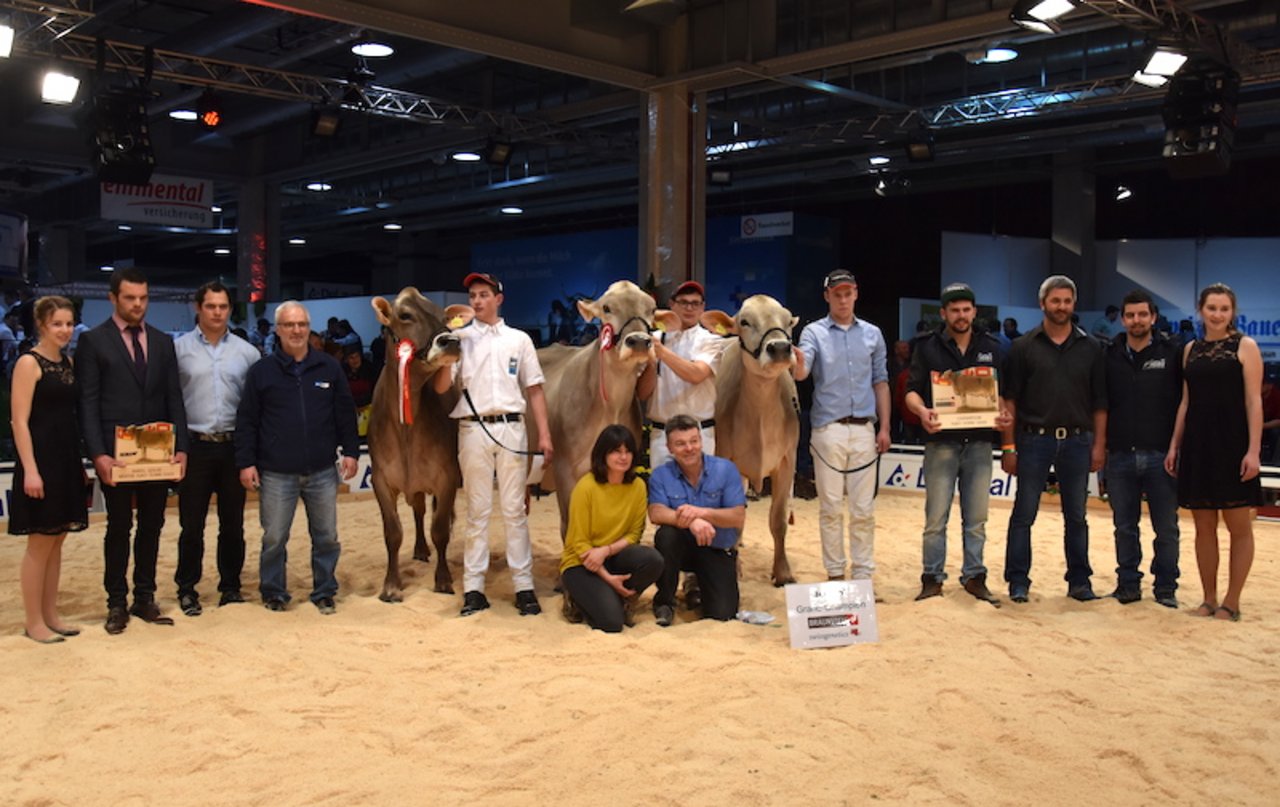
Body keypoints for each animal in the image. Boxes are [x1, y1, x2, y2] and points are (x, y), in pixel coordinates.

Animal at [371, 289, 476, 602]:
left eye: (445, 317)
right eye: (405, 315)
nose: (451, 341)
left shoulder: (447, 477)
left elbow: (440, 529)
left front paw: (443, 580)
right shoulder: (381, 479)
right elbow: (392, 533)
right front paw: (391, 586)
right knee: (417, 510)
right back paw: (419, 549)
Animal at [524, 281, 655, 540]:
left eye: (652, 309)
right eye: (606, 308)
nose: (638, 341)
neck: (610, 407)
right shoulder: (564, 469)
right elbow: (569, 526)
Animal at [701, 294, 798, 584]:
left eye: (787, 320)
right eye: (744, 321)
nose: (780, 347)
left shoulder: (788, 461)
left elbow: (778, 519)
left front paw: (783, 572)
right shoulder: (724, 458)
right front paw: (733, 568)